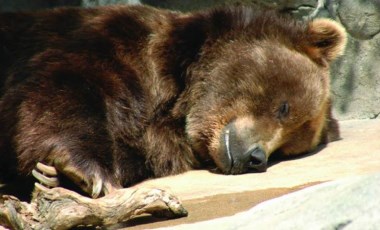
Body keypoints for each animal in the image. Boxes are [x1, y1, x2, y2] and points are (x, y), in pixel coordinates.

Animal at [0, 4, 346, 198]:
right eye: (284, 108)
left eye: (287, 150)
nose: (255, 157)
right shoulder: (114, 46)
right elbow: (64, 87)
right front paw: (91, 173)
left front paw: (52, 174)